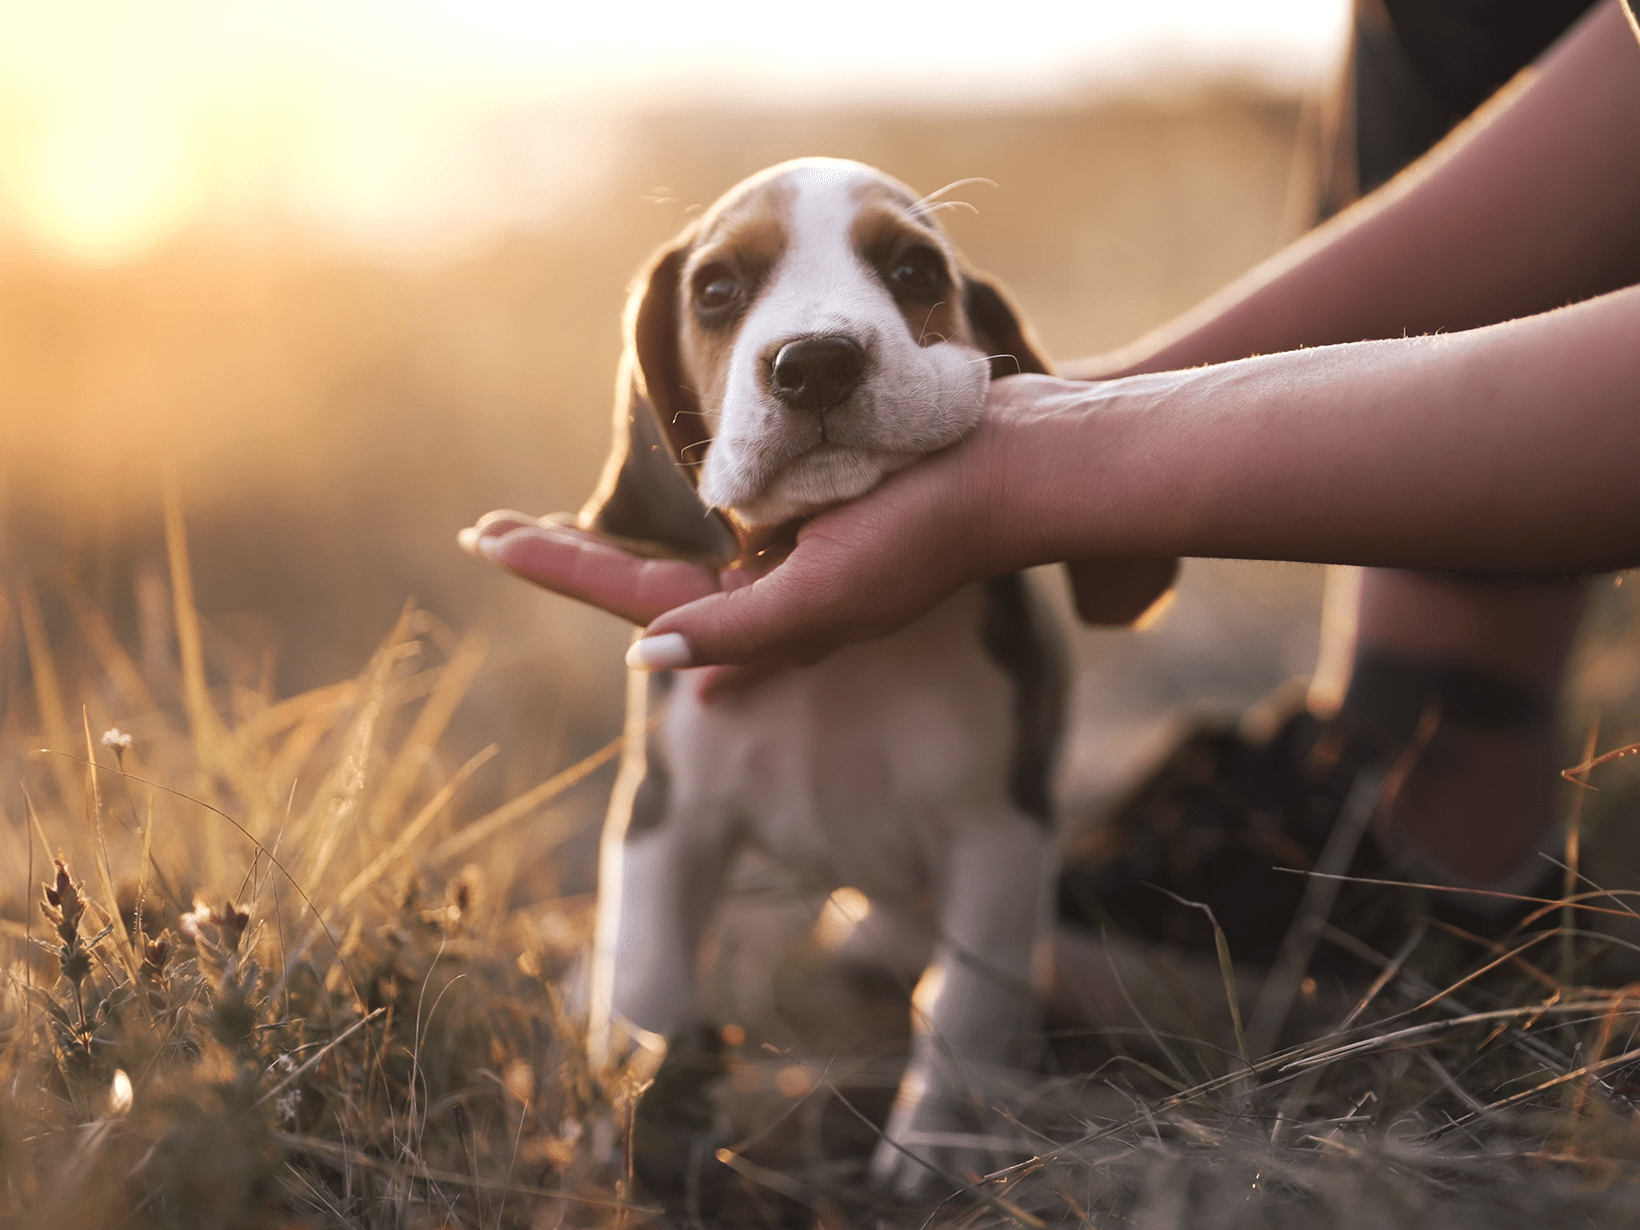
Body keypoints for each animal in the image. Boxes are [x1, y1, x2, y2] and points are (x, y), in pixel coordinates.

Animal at [580, 159, 1062, 1207]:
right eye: (717, 290)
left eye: (915, 271)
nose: (815, 363)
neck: (842, 663)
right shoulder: (667, 815)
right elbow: (647, 977)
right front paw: (629, 1119)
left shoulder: (1001, 834)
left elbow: (964, 1003)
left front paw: (938, 1152)